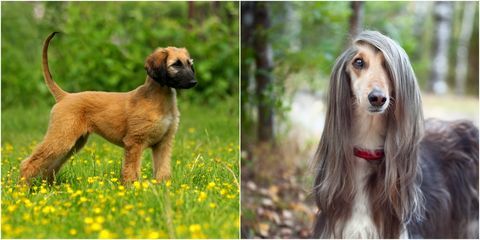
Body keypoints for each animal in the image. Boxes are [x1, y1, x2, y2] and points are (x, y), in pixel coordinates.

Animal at [18, 32, 195, 184]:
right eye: (176, 65)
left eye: (189, 64)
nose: (194, 83)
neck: (159, 99)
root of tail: (65, 96)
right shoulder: (134, 142)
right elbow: (131, 171)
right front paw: (132, 190)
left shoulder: (163, 143)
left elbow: (163, 171)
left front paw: (163, 189)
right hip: (61, 137)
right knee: (29, 163)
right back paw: (22, 189)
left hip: (72, 143)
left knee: (51, 167)